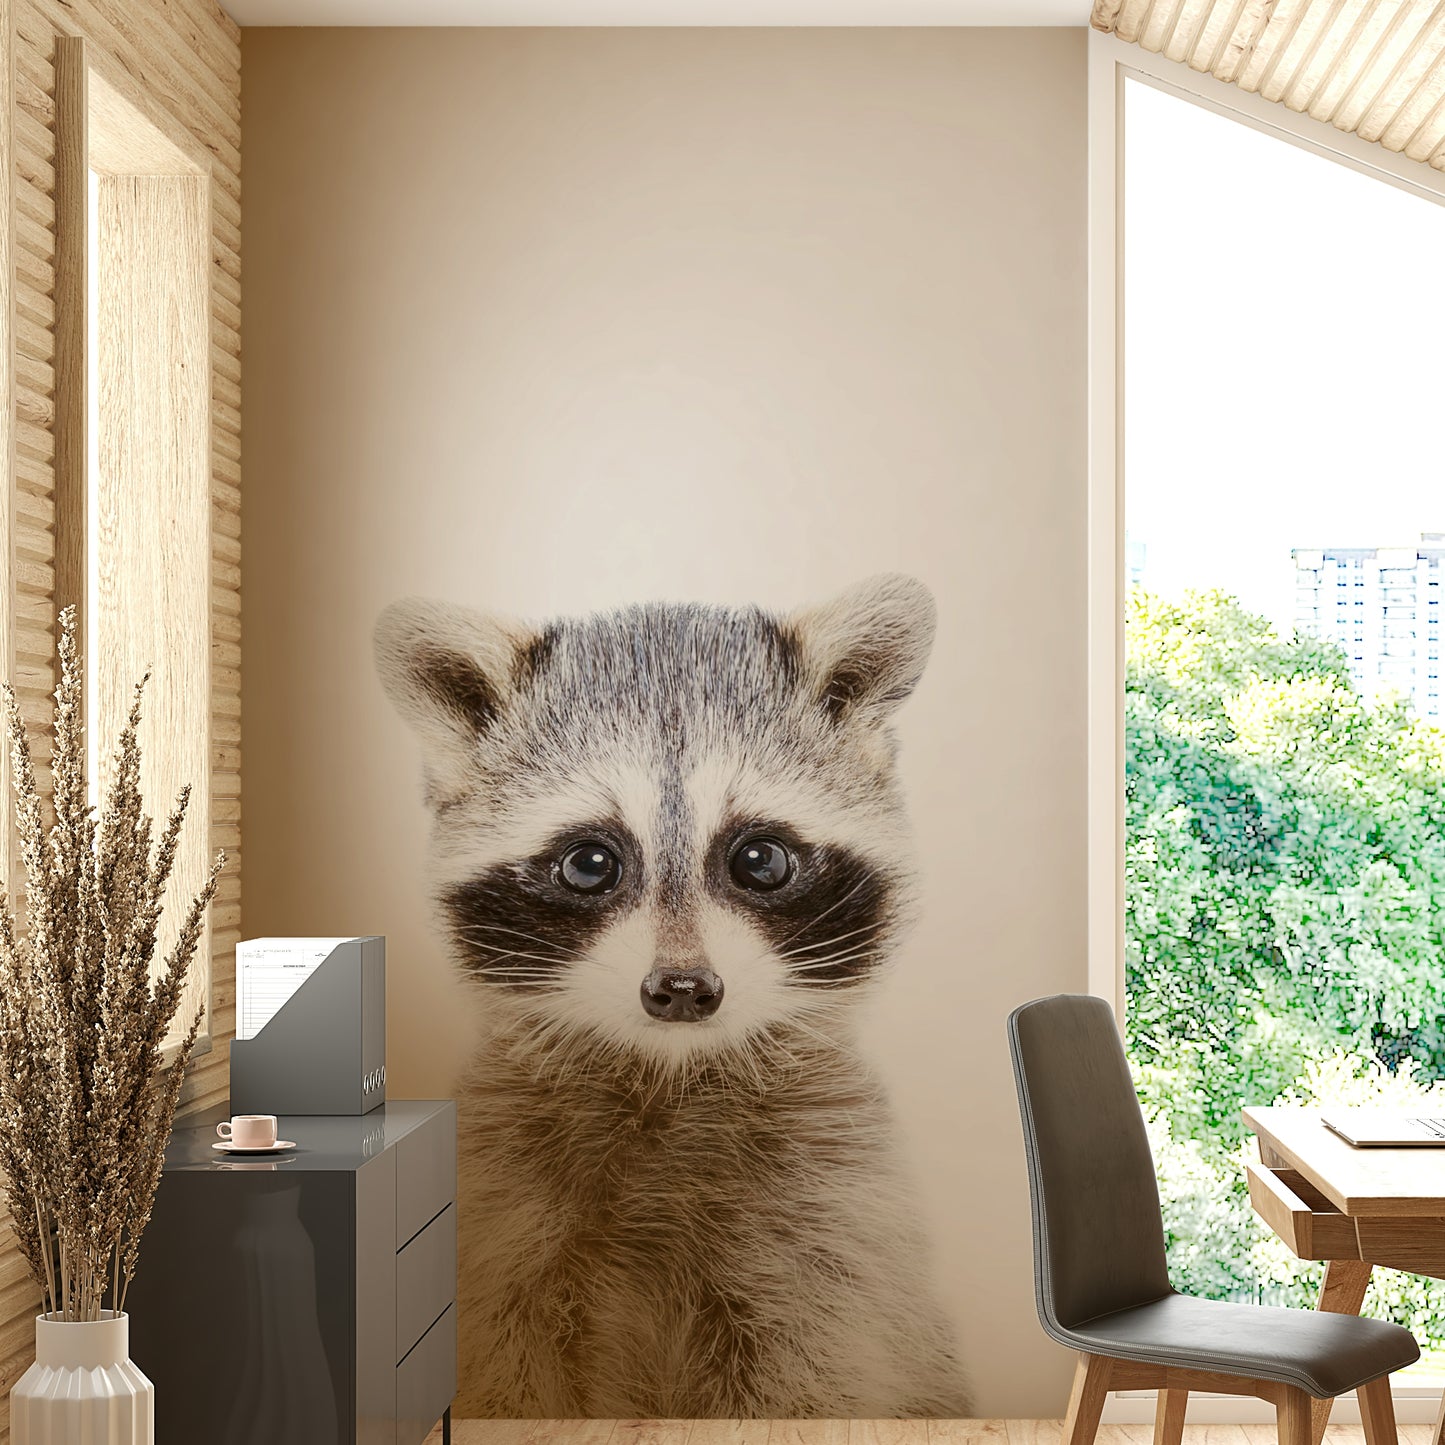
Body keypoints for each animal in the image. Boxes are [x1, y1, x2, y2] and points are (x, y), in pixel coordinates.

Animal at [374, 574, 970, 1419]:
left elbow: (820, 1378)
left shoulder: (833, 1218)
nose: (683, 988)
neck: (667, 1072)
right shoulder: (499, 1202)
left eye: (759, 858)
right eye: (589, 862)